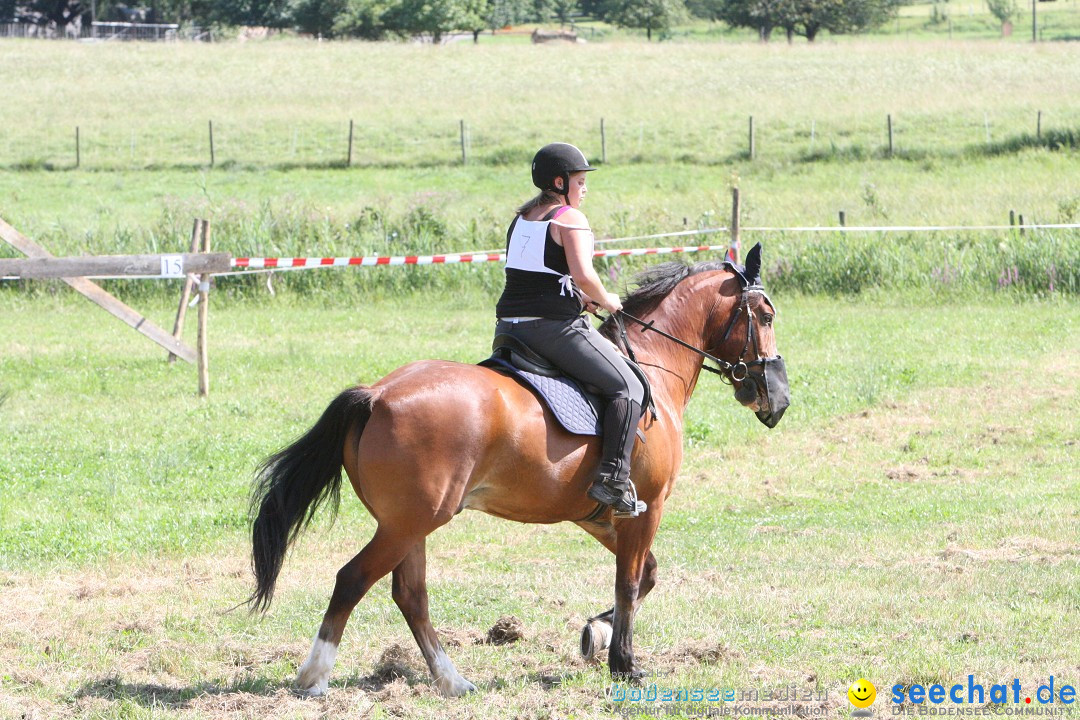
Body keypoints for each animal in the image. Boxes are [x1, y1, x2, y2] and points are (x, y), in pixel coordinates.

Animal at [248, 243, 790, 699]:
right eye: (765, 316)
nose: (778, 399)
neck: (654, 364)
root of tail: (375, 394)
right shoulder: (645, 507)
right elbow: (631, 582)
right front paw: (625, 664)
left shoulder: (600, 514)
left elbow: (646, 575)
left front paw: (596, 634)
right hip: (409, 522)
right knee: (353, 579)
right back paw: (315, 677)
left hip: (409, 524)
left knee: (410, 595)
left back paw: (452, 681)